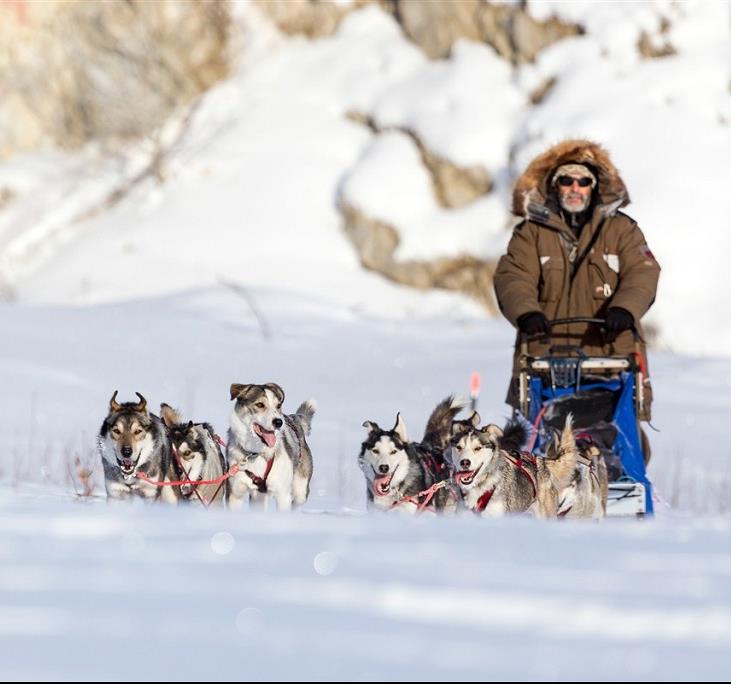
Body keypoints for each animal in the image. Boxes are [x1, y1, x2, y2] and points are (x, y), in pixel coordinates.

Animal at [224, 382, 314, 510]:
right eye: (260, 404)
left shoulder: (283, 495)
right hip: (258, 497)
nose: (278, 422)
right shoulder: (235, 494)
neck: (256, 453)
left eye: (278, 405)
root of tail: (294, 418)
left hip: (300, 490)